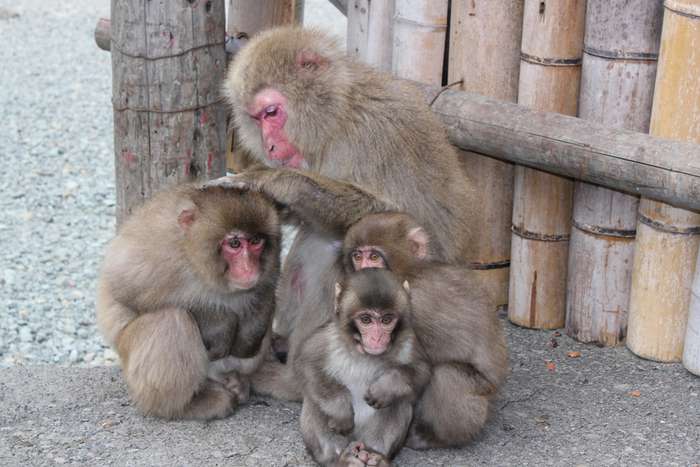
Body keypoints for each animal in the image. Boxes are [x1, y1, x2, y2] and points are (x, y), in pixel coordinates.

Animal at [96, 184, 281, 420]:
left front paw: (249, 334)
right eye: (234, 243)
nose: (249, 268)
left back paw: (239, 382)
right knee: (170, 320)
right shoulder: (157, 246)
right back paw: (186, 405)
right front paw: (221, 326)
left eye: (256, 241)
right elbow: (120, 286)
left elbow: (266, 288)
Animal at [210, 26, 479, 402]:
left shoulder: (375, 133)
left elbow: (402, 221)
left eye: (272, 113)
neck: (338, 116)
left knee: (334, 248)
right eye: (255, 118)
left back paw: (293, 380)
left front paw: (275, 181)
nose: (270, 147)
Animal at [296, 268, 430, 467]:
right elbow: (307, 364)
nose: (377, 338)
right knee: (314, 400)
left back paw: (376, 455)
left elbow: (421, 370)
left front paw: (386, 387)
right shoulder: (329, 337)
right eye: (366, 320)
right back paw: (341, 458)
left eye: (386, 319)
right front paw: (340, 411)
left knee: (400, 401)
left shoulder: (408, 340)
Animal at [341, 212, 509, 449]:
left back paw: (436, 437)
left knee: (448, 375)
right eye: (357, 256)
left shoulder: (413, 304)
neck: (411, 272)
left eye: (374, 257)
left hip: (483, 392)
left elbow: (424, 362)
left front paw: (391, 385)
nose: (365, 270)